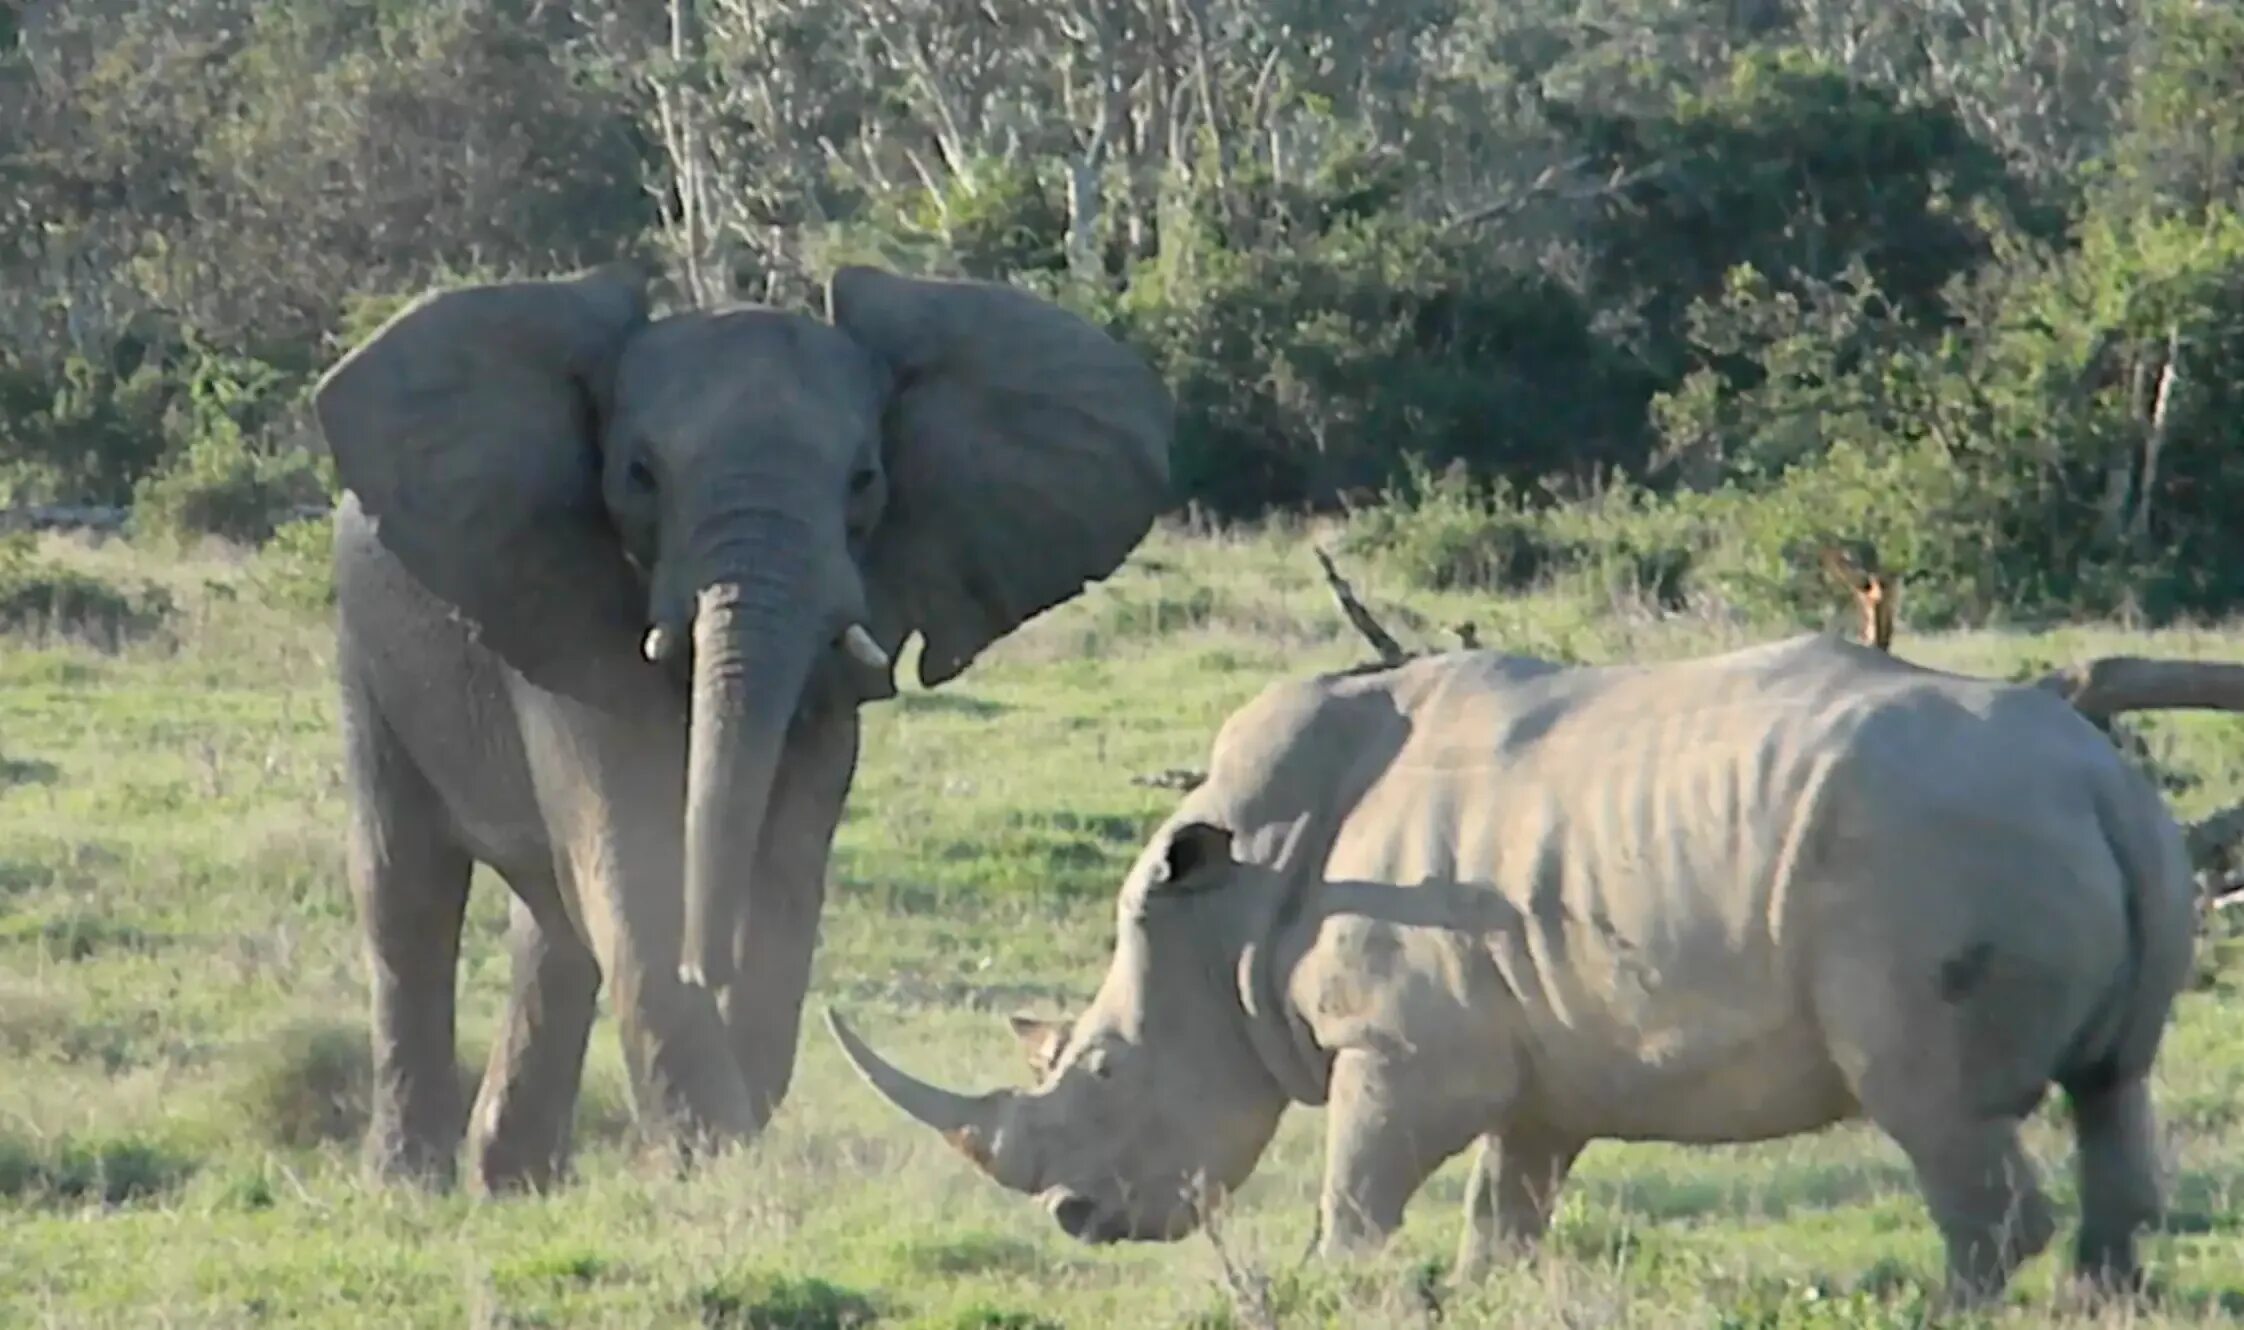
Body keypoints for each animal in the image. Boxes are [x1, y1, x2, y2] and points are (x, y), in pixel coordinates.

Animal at [311, 264, 1175, 1184]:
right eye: (639, 475)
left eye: (865, 479)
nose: (707, 962)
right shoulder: (564, 605)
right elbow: (631, 861)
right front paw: (708, 1160)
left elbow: (786, 861)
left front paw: (724, 1140)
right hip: (364, 648)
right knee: (406, 888)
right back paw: (410, 1183)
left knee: (550, 925)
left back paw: (511, 1184)